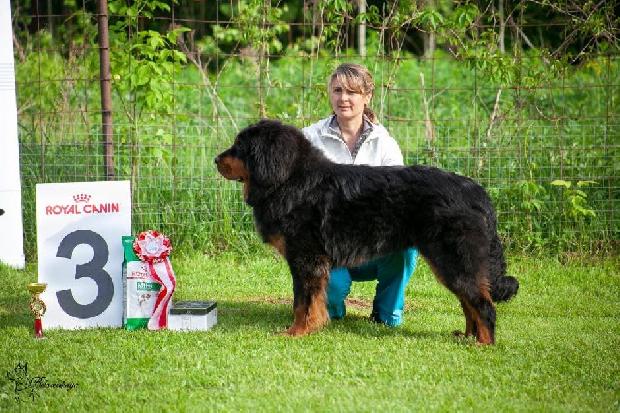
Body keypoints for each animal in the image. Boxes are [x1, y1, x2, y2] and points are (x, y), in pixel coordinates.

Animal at [215, 120, 518, 344]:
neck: (289, 179)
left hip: (453, 259)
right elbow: (307, 301)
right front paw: (310, 327)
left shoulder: (306, 259)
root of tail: (477, 191)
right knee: (469, 302)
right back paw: (467, 337)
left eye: (240, 146)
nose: (216, 159)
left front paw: (297, 332)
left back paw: (483, 344)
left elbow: (303, 302)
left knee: (482, 305)